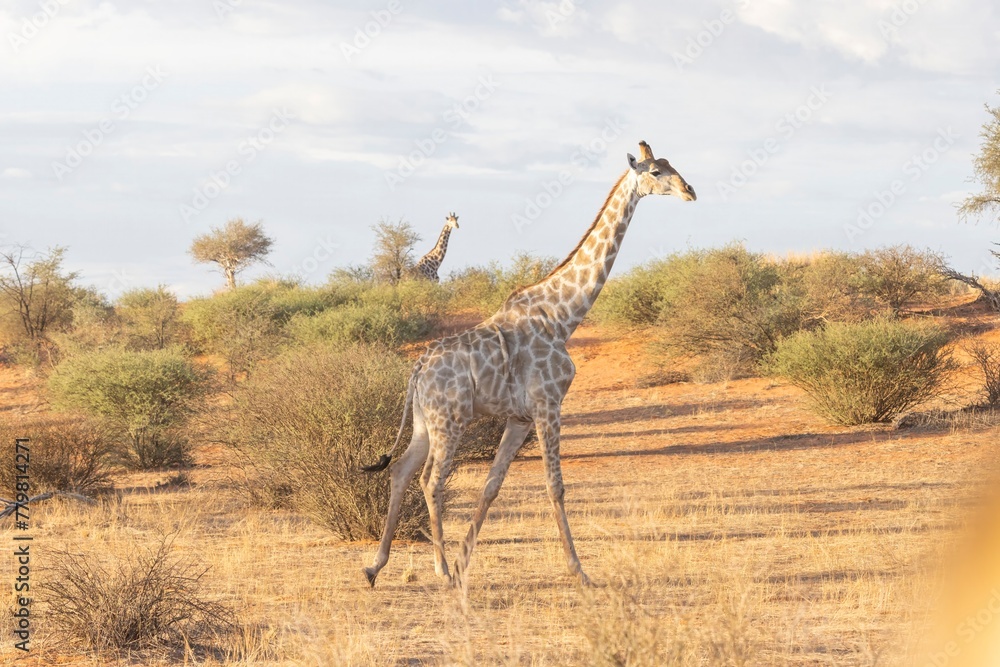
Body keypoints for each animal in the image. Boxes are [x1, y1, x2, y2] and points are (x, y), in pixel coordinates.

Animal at [363, 141, 696, 588]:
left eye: (672, 164)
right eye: (657, 171)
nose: (690, 191)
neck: (563, 316)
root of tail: (417, 369)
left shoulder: (519, 417)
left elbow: (492, 485)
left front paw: (466, 561)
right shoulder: (548, 404)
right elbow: (556, 487)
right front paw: (579, 571)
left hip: (423, 421)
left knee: (399, 470)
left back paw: (375, 566)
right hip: (450, 419)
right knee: (430, 480)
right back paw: (441, 571)